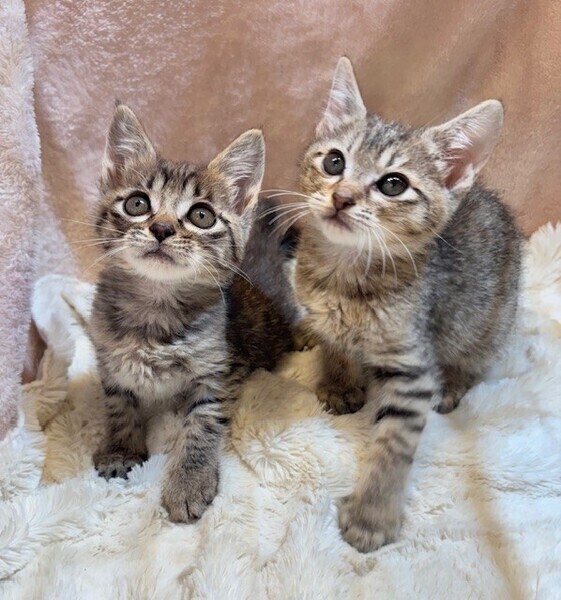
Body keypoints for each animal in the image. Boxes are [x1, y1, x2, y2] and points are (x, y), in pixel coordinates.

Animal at [90, 103, 295, 522]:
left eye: (202, 216)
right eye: (137, 204)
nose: (162, 228)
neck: (155, 309)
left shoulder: (221, 371)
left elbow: (202, 425)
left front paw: (188, 482)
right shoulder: (109, 358)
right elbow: (119, 404)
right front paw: (120, 448)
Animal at [291, 58, 522, 552]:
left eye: (393, 185)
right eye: (334, 161)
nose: (341, 197)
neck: (343, 278)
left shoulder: (411, 368)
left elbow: (393, 445)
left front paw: (372, 514)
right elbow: (333, 344)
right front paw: (339, 380)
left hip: (489, 322)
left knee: (473, 359)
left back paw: (453, 384)